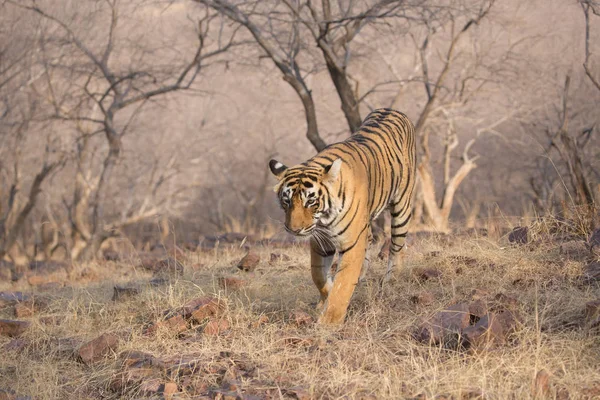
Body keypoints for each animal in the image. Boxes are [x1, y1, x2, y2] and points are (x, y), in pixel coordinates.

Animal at [270, 107, 414, 324]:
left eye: (310, 201)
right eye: (286, 201)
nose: (294, 230)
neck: (324, 220)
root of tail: (391, 109)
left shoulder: (352, 243)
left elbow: (343, 284)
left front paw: (329, 321)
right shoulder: (320, 242)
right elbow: (318, 274)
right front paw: (325, 297)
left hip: (402, 206)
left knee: (397, 247)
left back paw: (390, 281)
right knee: (372, 239)